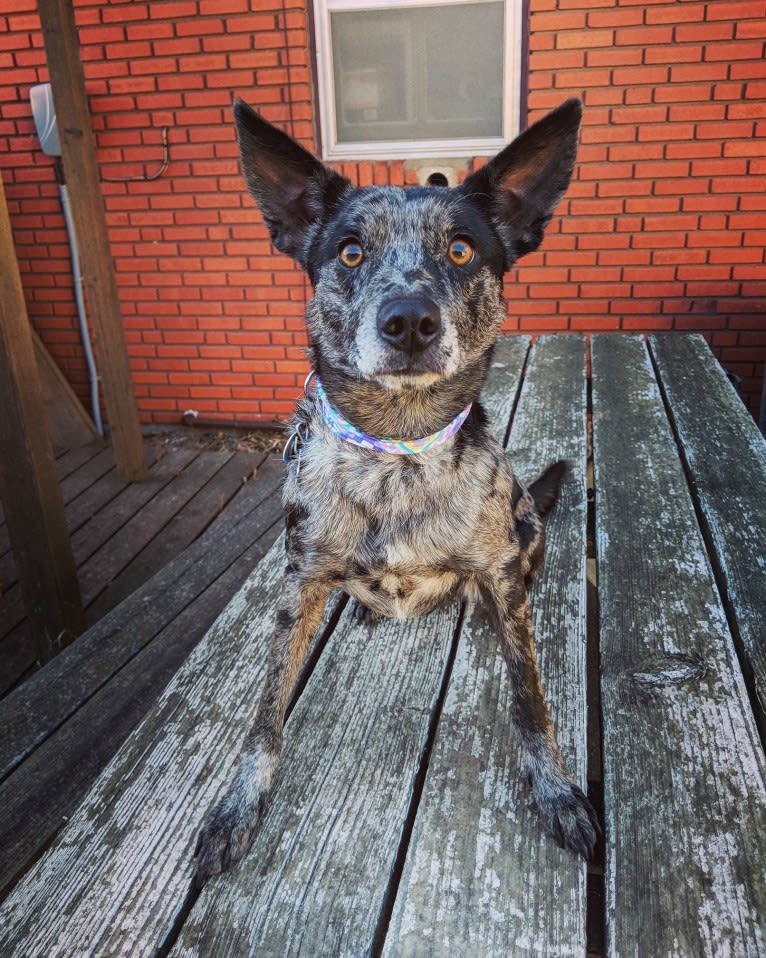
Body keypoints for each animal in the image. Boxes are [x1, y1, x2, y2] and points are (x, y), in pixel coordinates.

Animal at [192, 94, 600, 888]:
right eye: (350, 251)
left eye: (462, 250)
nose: (409, 321)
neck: (398, 457)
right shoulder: (300, 582)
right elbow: (265, 712)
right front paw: (239, 803)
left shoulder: (502, 573)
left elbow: (531, 699)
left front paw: (556, 787)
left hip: (528, 523)